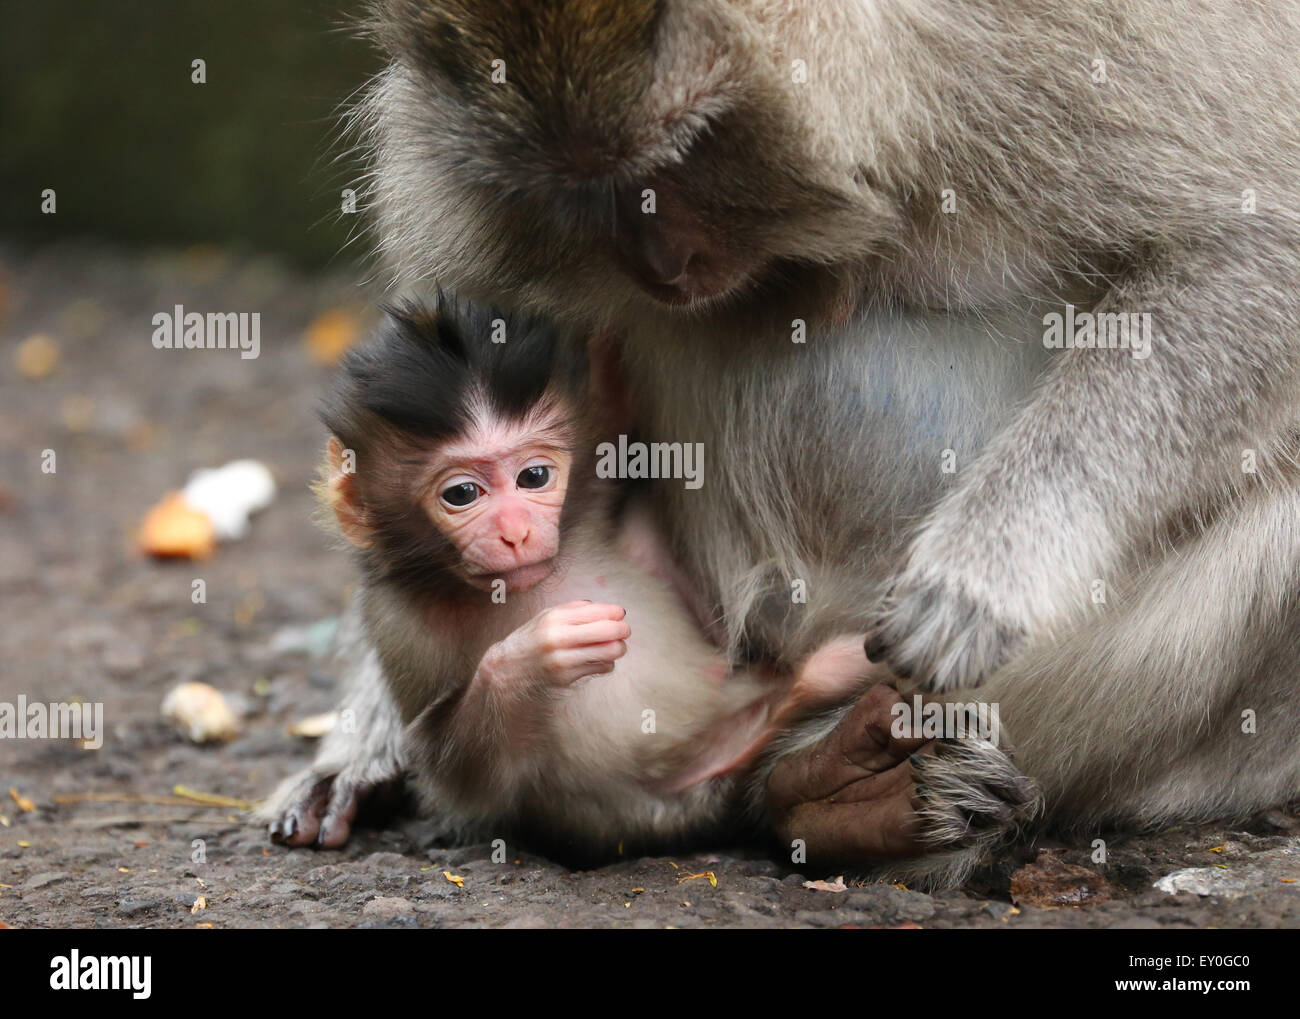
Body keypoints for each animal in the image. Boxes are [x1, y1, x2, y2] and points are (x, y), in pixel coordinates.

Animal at [262, 298, 873, 857]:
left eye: (534, 476)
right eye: (462, 494)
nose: (514, 532)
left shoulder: (592, 499)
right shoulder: (398, 624)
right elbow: (462, 776)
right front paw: (538, 653)